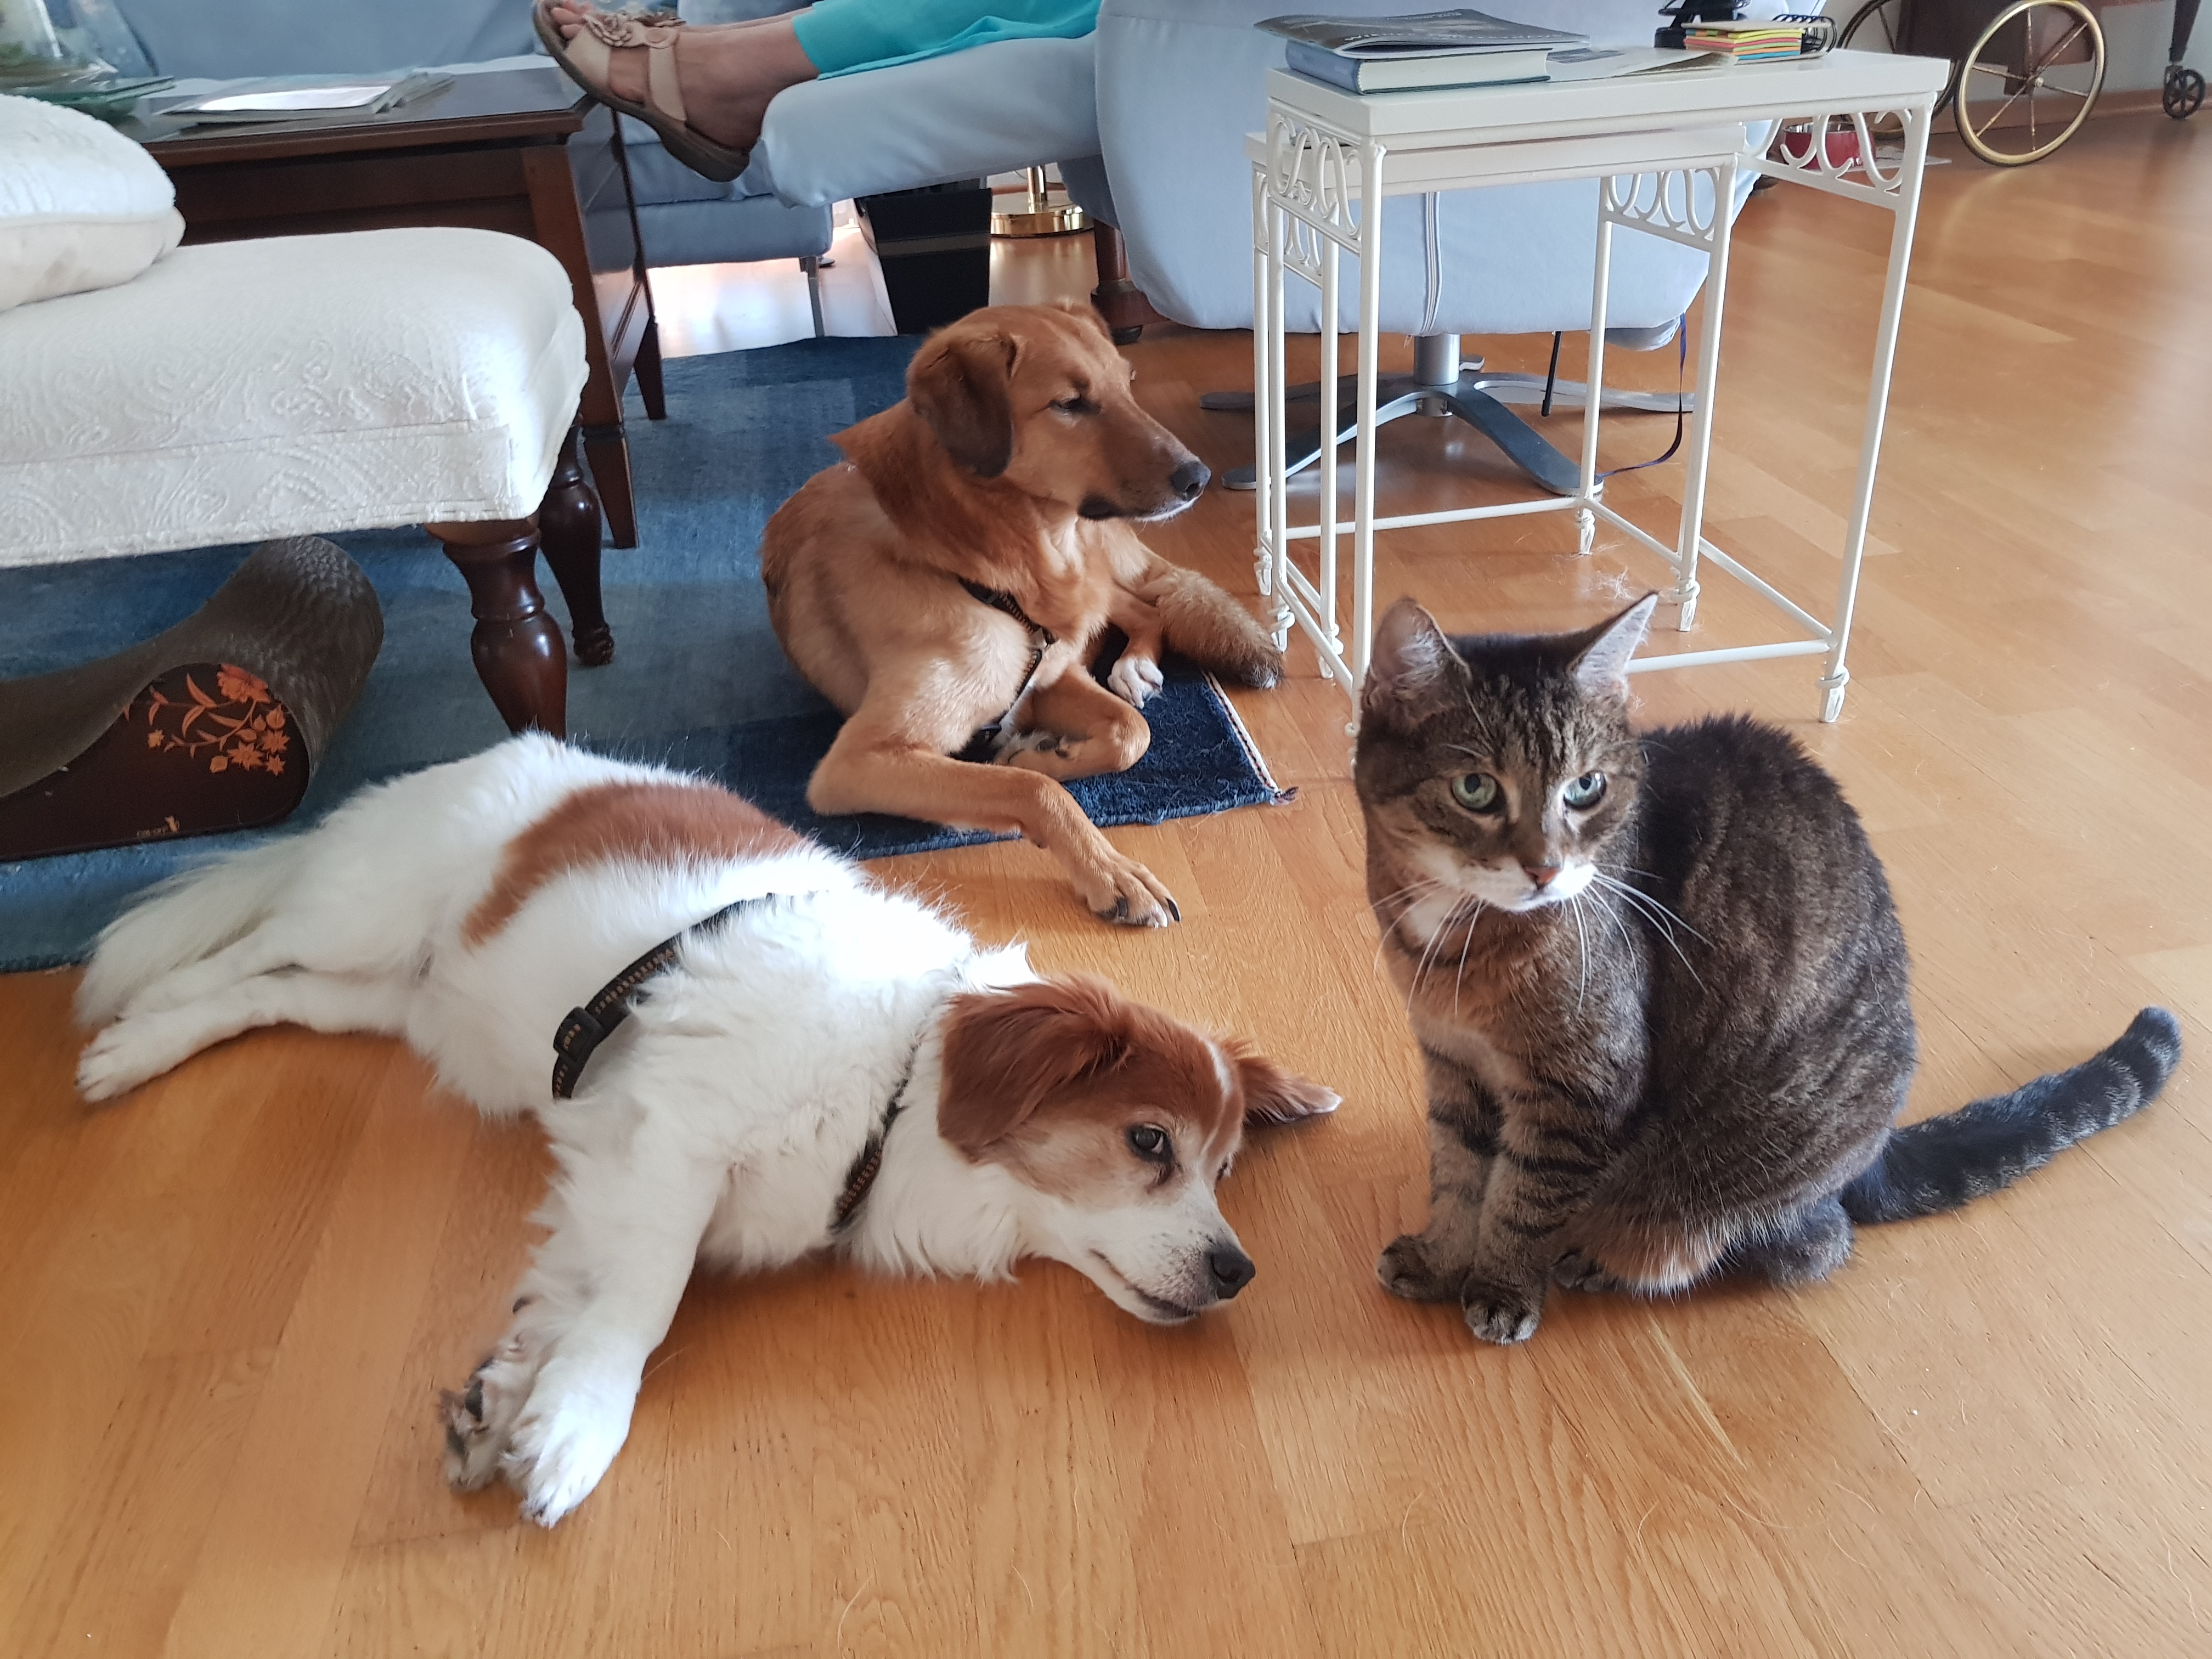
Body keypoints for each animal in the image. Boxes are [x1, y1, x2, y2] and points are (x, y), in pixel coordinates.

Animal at [72, 735, 1338, 1526]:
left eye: (1225, 1166)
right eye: (1149, 1144)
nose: (1237, 1271)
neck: (889, 1090)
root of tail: (481, 761)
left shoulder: (613, 1175)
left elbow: (568, 1294)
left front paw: (507, 1397)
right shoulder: (673, 1143)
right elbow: (640, 1302)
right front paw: (576, 1428)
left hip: (388, 998)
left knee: (268, 994)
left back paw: (150, 1042)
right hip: (364, 923)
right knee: (245, 951)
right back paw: (134, 1028)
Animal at [761, 301, 1286, 929]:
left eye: (1128, 385)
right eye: (1070, 403)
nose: (1198, 480)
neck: (984, 566)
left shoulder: (1048, 677)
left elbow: (1130, 734)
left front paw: (1046, 755)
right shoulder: (855, 765)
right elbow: (1028, 788)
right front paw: (1109, 869)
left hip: (1095, 579)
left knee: (1140, 612)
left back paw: (1131, 666)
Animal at [1353, 592, 2181, 1345]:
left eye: (1586, 788)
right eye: (1475, 789)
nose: (1546, 869)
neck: (1456, 939)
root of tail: (1868, 1162)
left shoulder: (1582, 1086)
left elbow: (1522, 1197)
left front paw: (1500, 1284)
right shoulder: (1451, 1061)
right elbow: (1460, 1175)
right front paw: (1443, 1259)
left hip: (1728, 1180)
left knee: (1805, 1243)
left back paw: (1599, 1255)